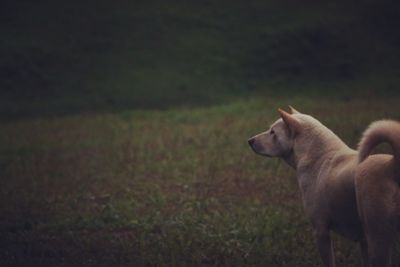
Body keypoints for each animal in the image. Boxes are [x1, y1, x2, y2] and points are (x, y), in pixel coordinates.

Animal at [250, 107, 400, 267]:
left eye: (272, 132)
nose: (249, 141)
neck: (318, 156)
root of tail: (392, 165)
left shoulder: (321, 231)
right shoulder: (363, 240)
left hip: (378, 240)